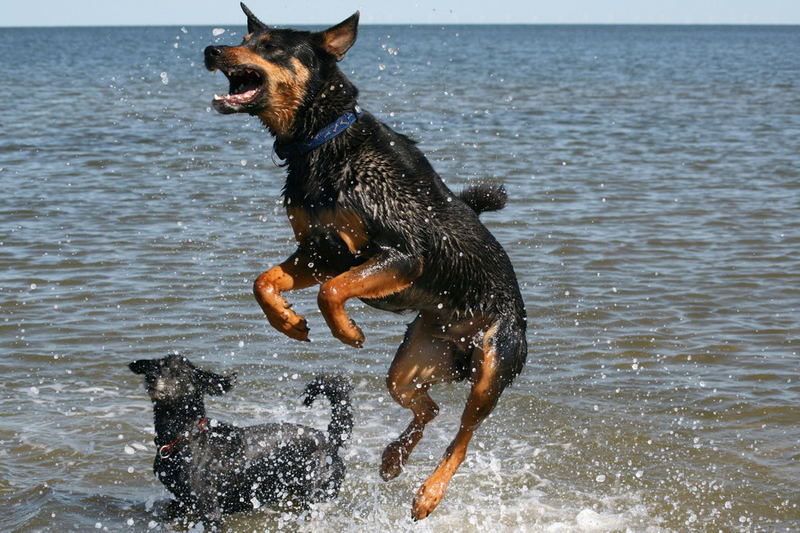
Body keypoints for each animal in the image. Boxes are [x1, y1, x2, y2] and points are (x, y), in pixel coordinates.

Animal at [130, 352, 352, 528]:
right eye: (155, 366)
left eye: (180, 372)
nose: (151, 378)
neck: (186, 437)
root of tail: (330, 440)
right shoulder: (179, 503)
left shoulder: (209, 509)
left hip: (317, 492)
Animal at [203, 3, 528, 520]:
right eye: (244, 37)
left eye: (269, 46)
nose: (211, 50)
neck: (320, 141)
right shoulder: (321, 250)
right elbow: (263, 281)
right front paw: (288, 322)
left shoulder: (400, 253)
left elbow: (330, 291)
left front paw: (346, 331)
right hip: (411, 366)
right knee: (429, 408)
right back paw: (394, 458)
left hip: (493, 364)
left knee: (464, 433)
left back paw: (430, 492)